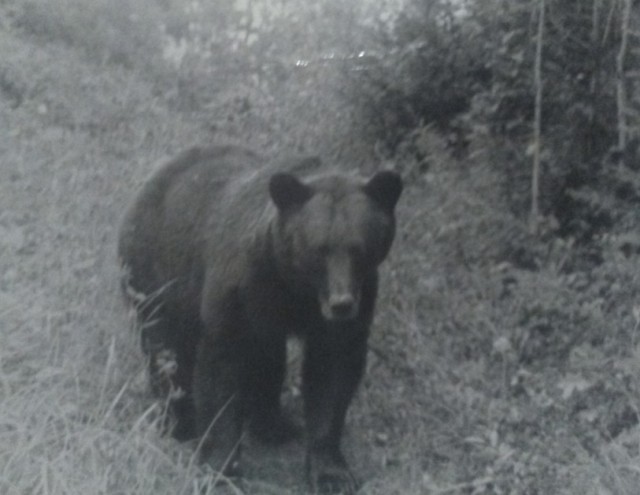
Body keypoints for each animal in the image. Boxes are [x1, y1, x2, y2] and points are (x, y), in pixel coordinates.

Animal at [117, 145, 402, 494]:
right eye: (319, 249)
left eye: (359, 248)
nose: (341, 304)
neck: (294, 284)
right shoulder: (241, 288)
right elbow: (221, 369)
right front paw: (221, 469)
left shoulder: (354, 300)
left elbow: (333, 373)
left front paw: (332, 473)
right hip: (157, 274)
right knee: (165, 347)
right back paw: (179, 421)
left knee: (267, 359)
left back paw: (274, 424)